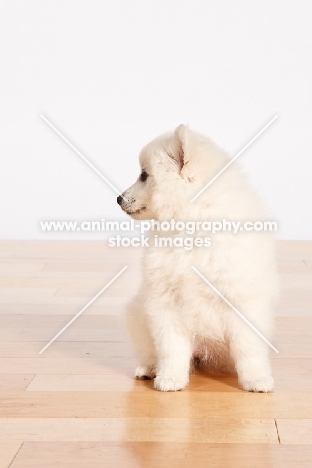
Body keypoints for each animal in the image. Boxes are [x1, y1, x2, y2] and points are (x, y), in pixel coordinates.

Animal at [118, 124, 280, 392]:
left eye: (144, 175)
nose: (118, 199)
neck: (192, 227)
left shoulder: (242, 300)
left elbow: (249, 348)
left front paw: (256, 379)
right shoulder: (165, 302)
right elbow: (170, 348)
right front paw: (171, 377)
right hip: (138, 314)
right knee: (149, 351)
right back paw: (149, 368)